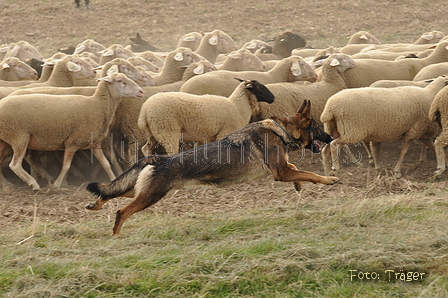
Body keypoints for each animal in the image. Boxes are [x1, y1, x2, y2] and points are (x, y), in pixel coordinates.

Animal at [0, 72, 144, 190]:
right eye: (120, 81)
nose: (141, 91)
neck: (96, 105)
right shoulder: (72, 142)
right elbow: (66, 166)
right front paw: (57, 185)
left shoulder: (95, 144)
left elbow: (106, 164)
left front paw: (113, 180)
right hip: (19, 137)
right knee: (15, 165)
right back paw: (33, 183)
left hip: (5, 139)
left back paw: (7, 184)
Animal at [86, 100, 340, 235]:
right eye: (318, 128)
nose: (331, 138)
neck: (281, 130)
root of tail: (159, 160)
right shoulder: (281, 172)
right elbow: (311, 173)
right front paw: (329, 180)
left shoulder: (283, 169)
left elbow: (298, 169)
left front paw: (298, 186)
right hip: (150, 196)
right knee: (121, 212)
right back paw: (116, 237)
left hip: (140, 190)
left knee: (110, 192)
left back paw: (95, 204)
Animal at [138, 78, 274, 156]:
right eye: (259, 87)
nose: (272, 98)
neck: (237, 106)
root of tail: (144, 110)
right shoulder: (224, 132)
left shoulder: (208, 137)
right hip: (167, 130)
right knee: (171, 152)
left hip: (155, 132)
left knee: (146, 149)